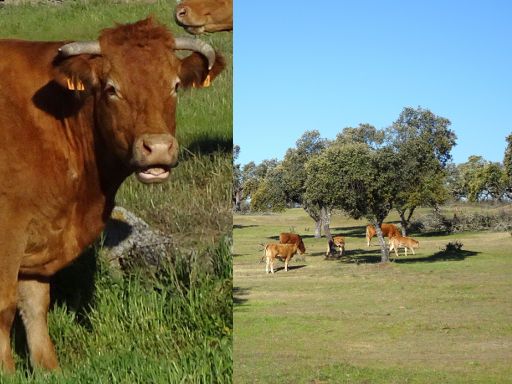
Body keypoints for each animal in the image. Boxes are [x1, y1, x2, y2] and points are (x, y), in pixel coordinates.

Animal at [0, 17, 224, 372]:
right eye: (111, 88)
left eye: (175, 85)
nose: (158, 148)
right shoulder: (9, 228)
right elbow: (5, 306)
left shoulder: (41, 232)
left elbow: (35, 304)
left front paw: (48, 368)